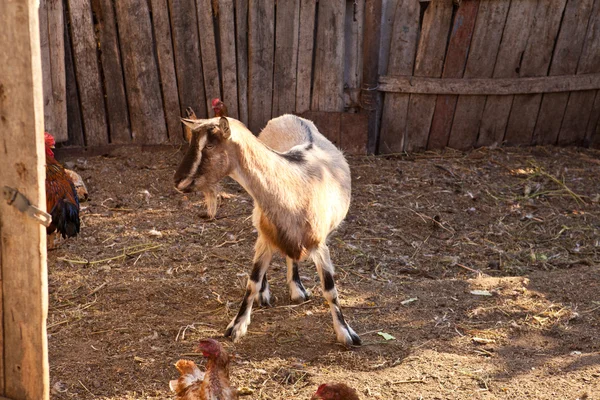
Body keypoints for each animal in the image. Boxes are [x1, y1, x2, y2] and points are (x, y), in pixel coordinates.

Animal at [173, 114, 360, 346]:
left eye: (209, 144)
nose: (178, 181)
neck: (293, 189)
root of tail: (289, 117)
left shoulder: (319, 245)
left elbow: (330, 289)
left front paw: (345, 333)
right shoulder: (266, 237)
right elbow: (252, 282)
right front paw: (237, 326)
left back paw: (297, 289)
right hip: (260, 219)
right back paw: (265, 293)